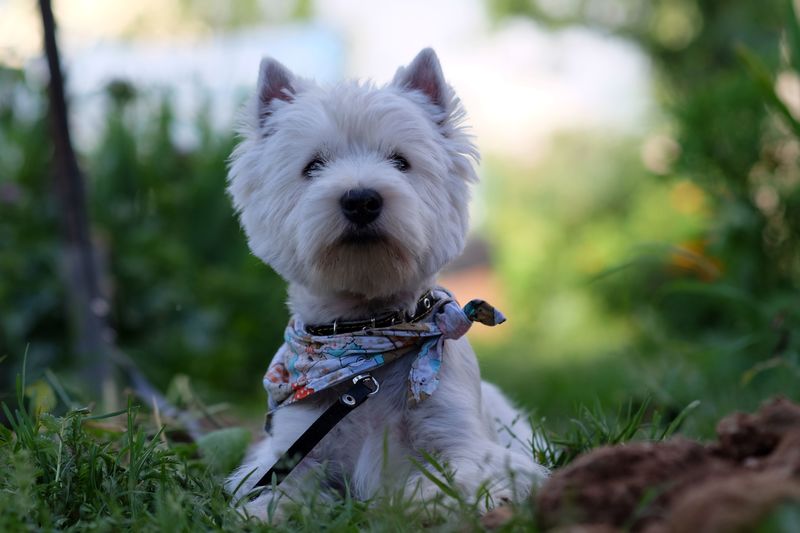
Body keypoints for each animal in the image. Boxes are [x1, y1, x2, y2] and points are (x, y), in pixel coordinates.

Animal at [227, 47, 552, 516]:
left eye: (401, 161)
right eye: (313, 166)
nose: (361, 199)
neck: (366, 332)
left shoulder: (460, 439)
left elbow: (458, 474)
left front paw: (424, 499)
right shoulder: (296, 450)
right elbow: (277, 491)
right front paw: (262, 513)